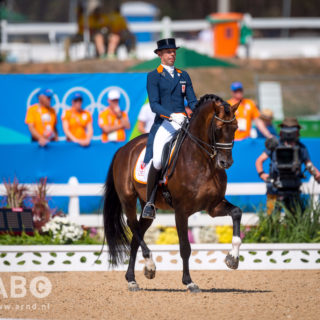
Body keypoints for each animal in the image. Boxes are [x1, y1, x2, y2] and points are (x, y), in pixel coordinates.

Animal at [104, 94, 241, 292]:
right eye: (218, 128)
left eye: (236, 127)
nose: (225, 163)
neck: (203, 161)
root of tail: (123, 149)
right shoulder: (181, 211)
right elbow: (185, 247)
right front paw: (189, 282)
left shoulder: (213, 206)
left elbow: (237, 212)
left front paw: (232, 259)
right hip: (128, 199)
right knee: (133, 227)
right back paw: (149, 265)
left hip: (148, 207)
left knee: (137, 235)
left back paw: (133, 278)